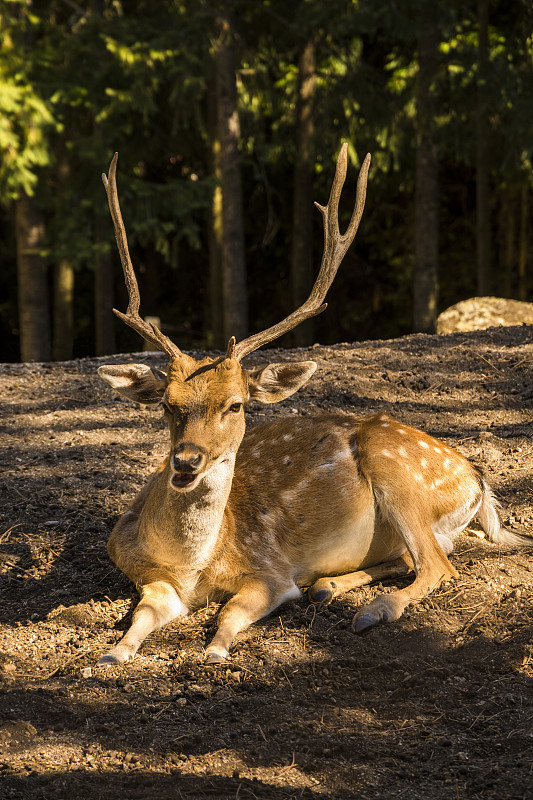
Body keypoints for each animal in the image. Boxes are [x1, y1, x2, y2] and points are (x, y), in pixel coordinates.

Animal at [94, 142, 528, 664]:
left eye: (236, 405)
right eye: (166, 403)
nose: (186, 460)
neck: (191, 566)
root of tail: (478, 478)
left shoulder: (270, 570)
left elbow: (232, 611)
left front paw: (215, 650)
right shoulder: (153, 580)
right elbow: (140, 616)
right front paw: (112, 654)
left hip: (398, 472)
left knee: (438, 565)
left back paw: (371, 610)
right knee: (417, 556)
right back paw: (329, 586)